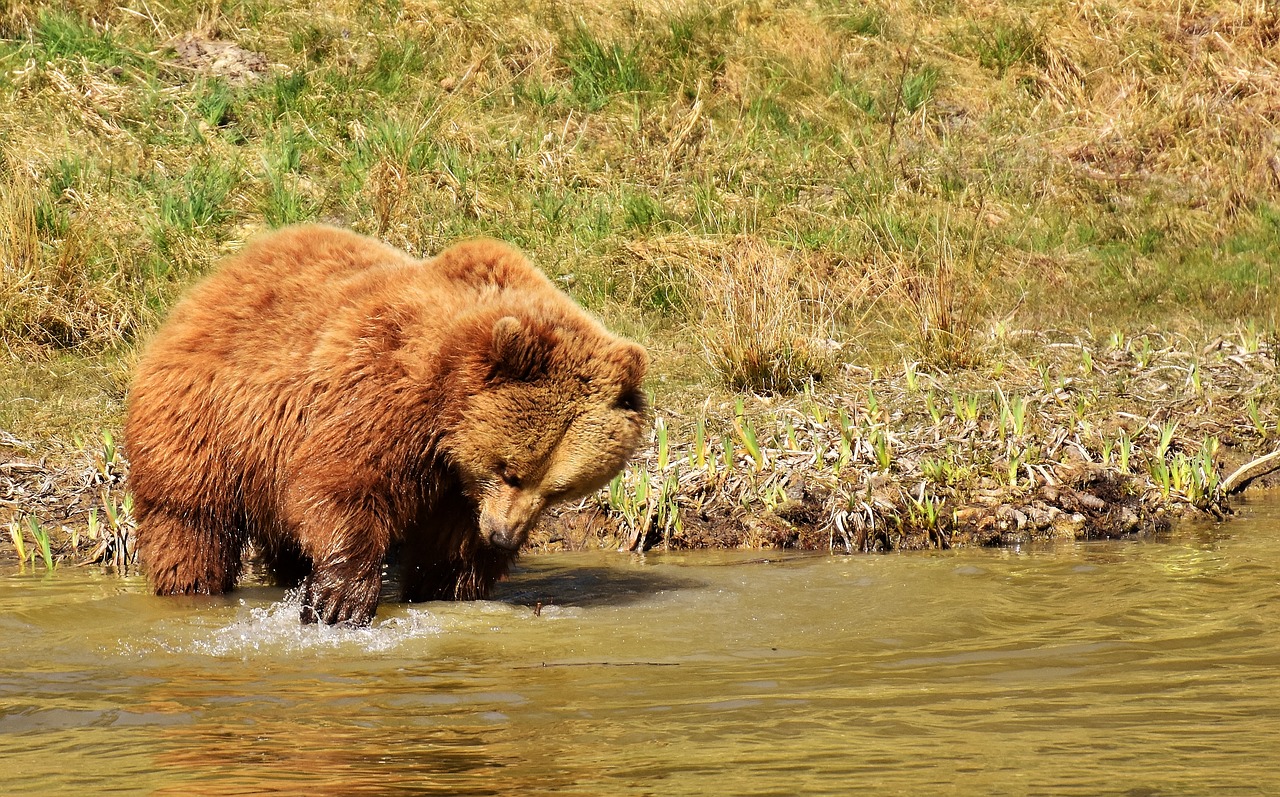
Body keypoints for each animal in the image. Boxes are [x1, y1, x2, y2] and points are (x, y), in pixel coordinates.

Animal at [126, 222, 650, 624]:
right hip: (207, 420)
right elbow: (341, 481)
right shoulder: (385, 390)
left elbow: (450, 548)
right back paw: (193, 586)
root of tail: (215, 280)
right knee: (191, 521)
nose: (504, 536)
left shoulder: (459, 487)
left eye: (559, 490)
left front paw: (449, 588)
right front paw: (341, 600)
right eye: (511, 470)